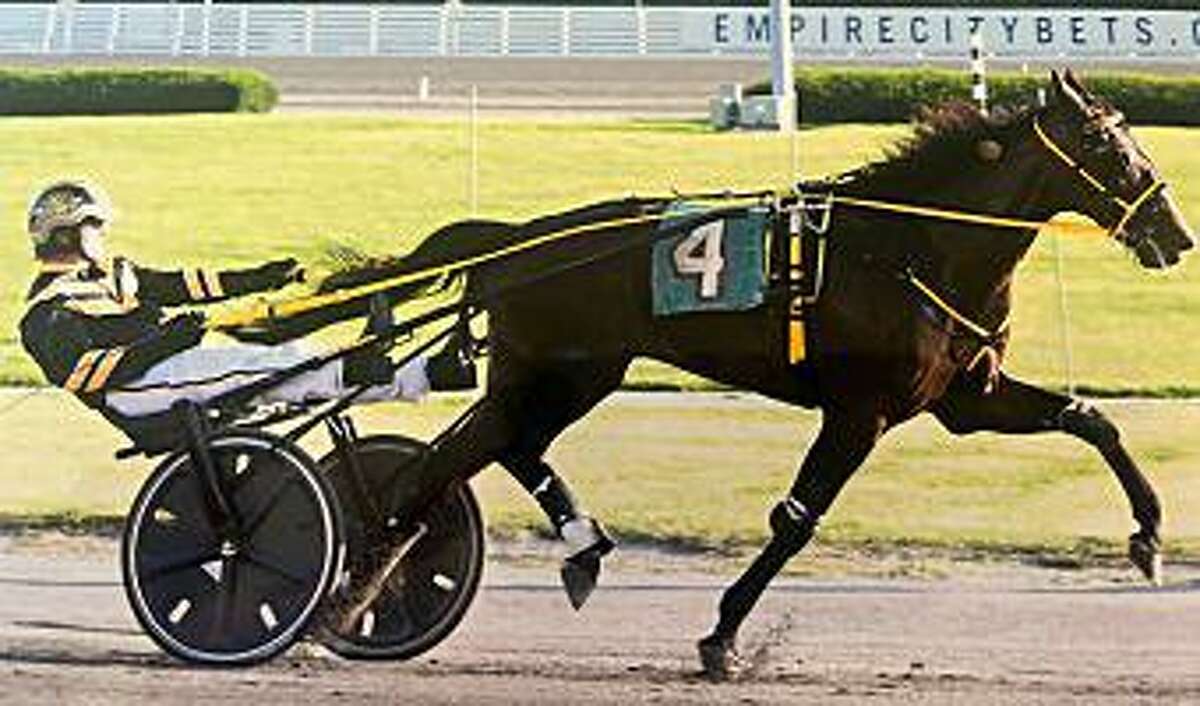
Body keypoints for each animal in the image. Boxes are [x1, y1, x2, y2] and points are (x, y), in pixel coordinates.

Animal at [231, 70, 1190, 677]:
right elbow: (796, 521)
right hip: (557, 370)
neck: (913, 244)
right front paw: (724, 637)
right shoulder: (862, 411)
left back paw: (549, 554)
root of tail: (515, 237)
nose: (1175, 234)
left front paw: (1147, 539)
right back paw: (342, 597)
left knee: (479, 452)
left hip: (573, 375)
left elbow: (1091, 419)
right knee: (447, 463)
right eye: (1109, 148)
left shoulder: (965, 396)